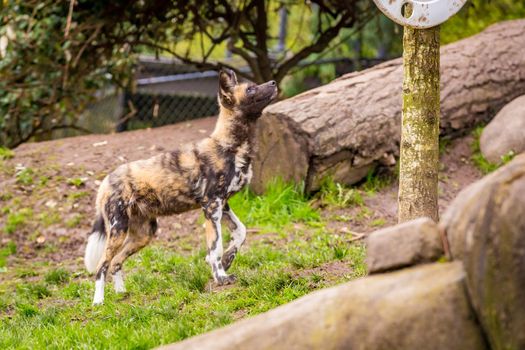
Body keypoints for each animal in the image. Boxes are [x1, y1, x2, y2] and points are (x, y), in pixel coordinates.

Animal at [84, 69, 276, 304]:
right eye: (250, 89)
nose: (273, 82)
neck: (230, 147)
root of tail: (106, 180)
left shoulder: (223, 205)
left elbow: (241, 231)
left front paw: (228, 260)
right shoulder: (212, 207)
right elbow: (216, 247)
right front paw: (221, 277)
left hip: (143, 234)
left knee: (116, 261)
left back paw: (121, 292)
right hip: (118, 229)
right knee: (101, 265)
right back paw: (99, 302)